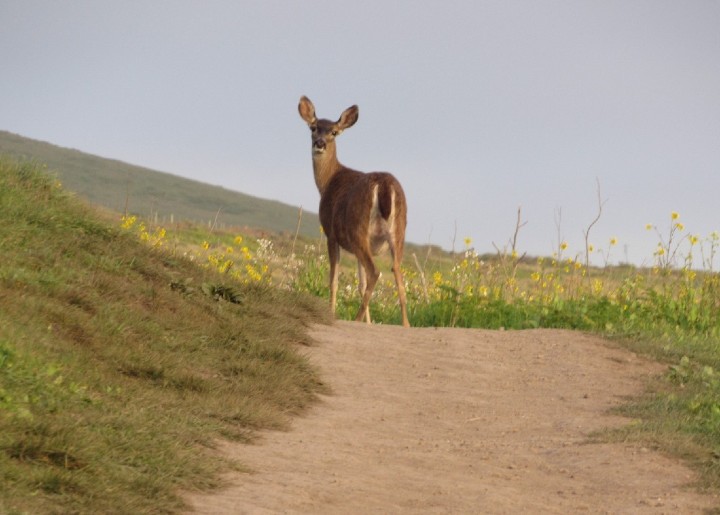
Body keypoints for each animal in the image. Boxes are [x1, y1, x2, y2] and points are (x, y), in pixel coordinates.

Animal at [298, 96, 410, 327]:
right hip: (397, 231)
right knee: (396, 271)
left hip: (358, 228)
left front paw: (332, 313)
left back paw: (356, 319)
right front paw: (369, 322)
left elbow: (334, 280)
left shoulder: (331, 233)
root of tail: (384, 186)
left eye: (334, 132)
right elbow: (360, 283)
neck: (328, 181)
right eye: (313, 128)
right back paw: (406, 324)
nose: (319, 143)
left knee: (375, 272)